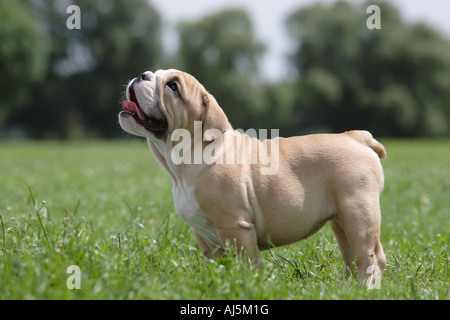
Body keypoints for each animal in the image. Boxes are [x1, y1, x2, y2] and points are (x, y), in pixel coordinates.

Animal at [118, 68, 386, 280]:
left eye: (172, 87)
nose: (142, 75)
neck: (186, 158)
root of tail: (357, 137)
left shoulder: (235, 227)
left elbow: (246, 264)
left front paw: (248, 284)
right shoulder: (205, 236)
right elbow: (218, 265)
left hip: (358, 211)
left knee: (370, 256)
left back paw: (366, 288)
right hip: (341, 221)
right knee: (352, 255)